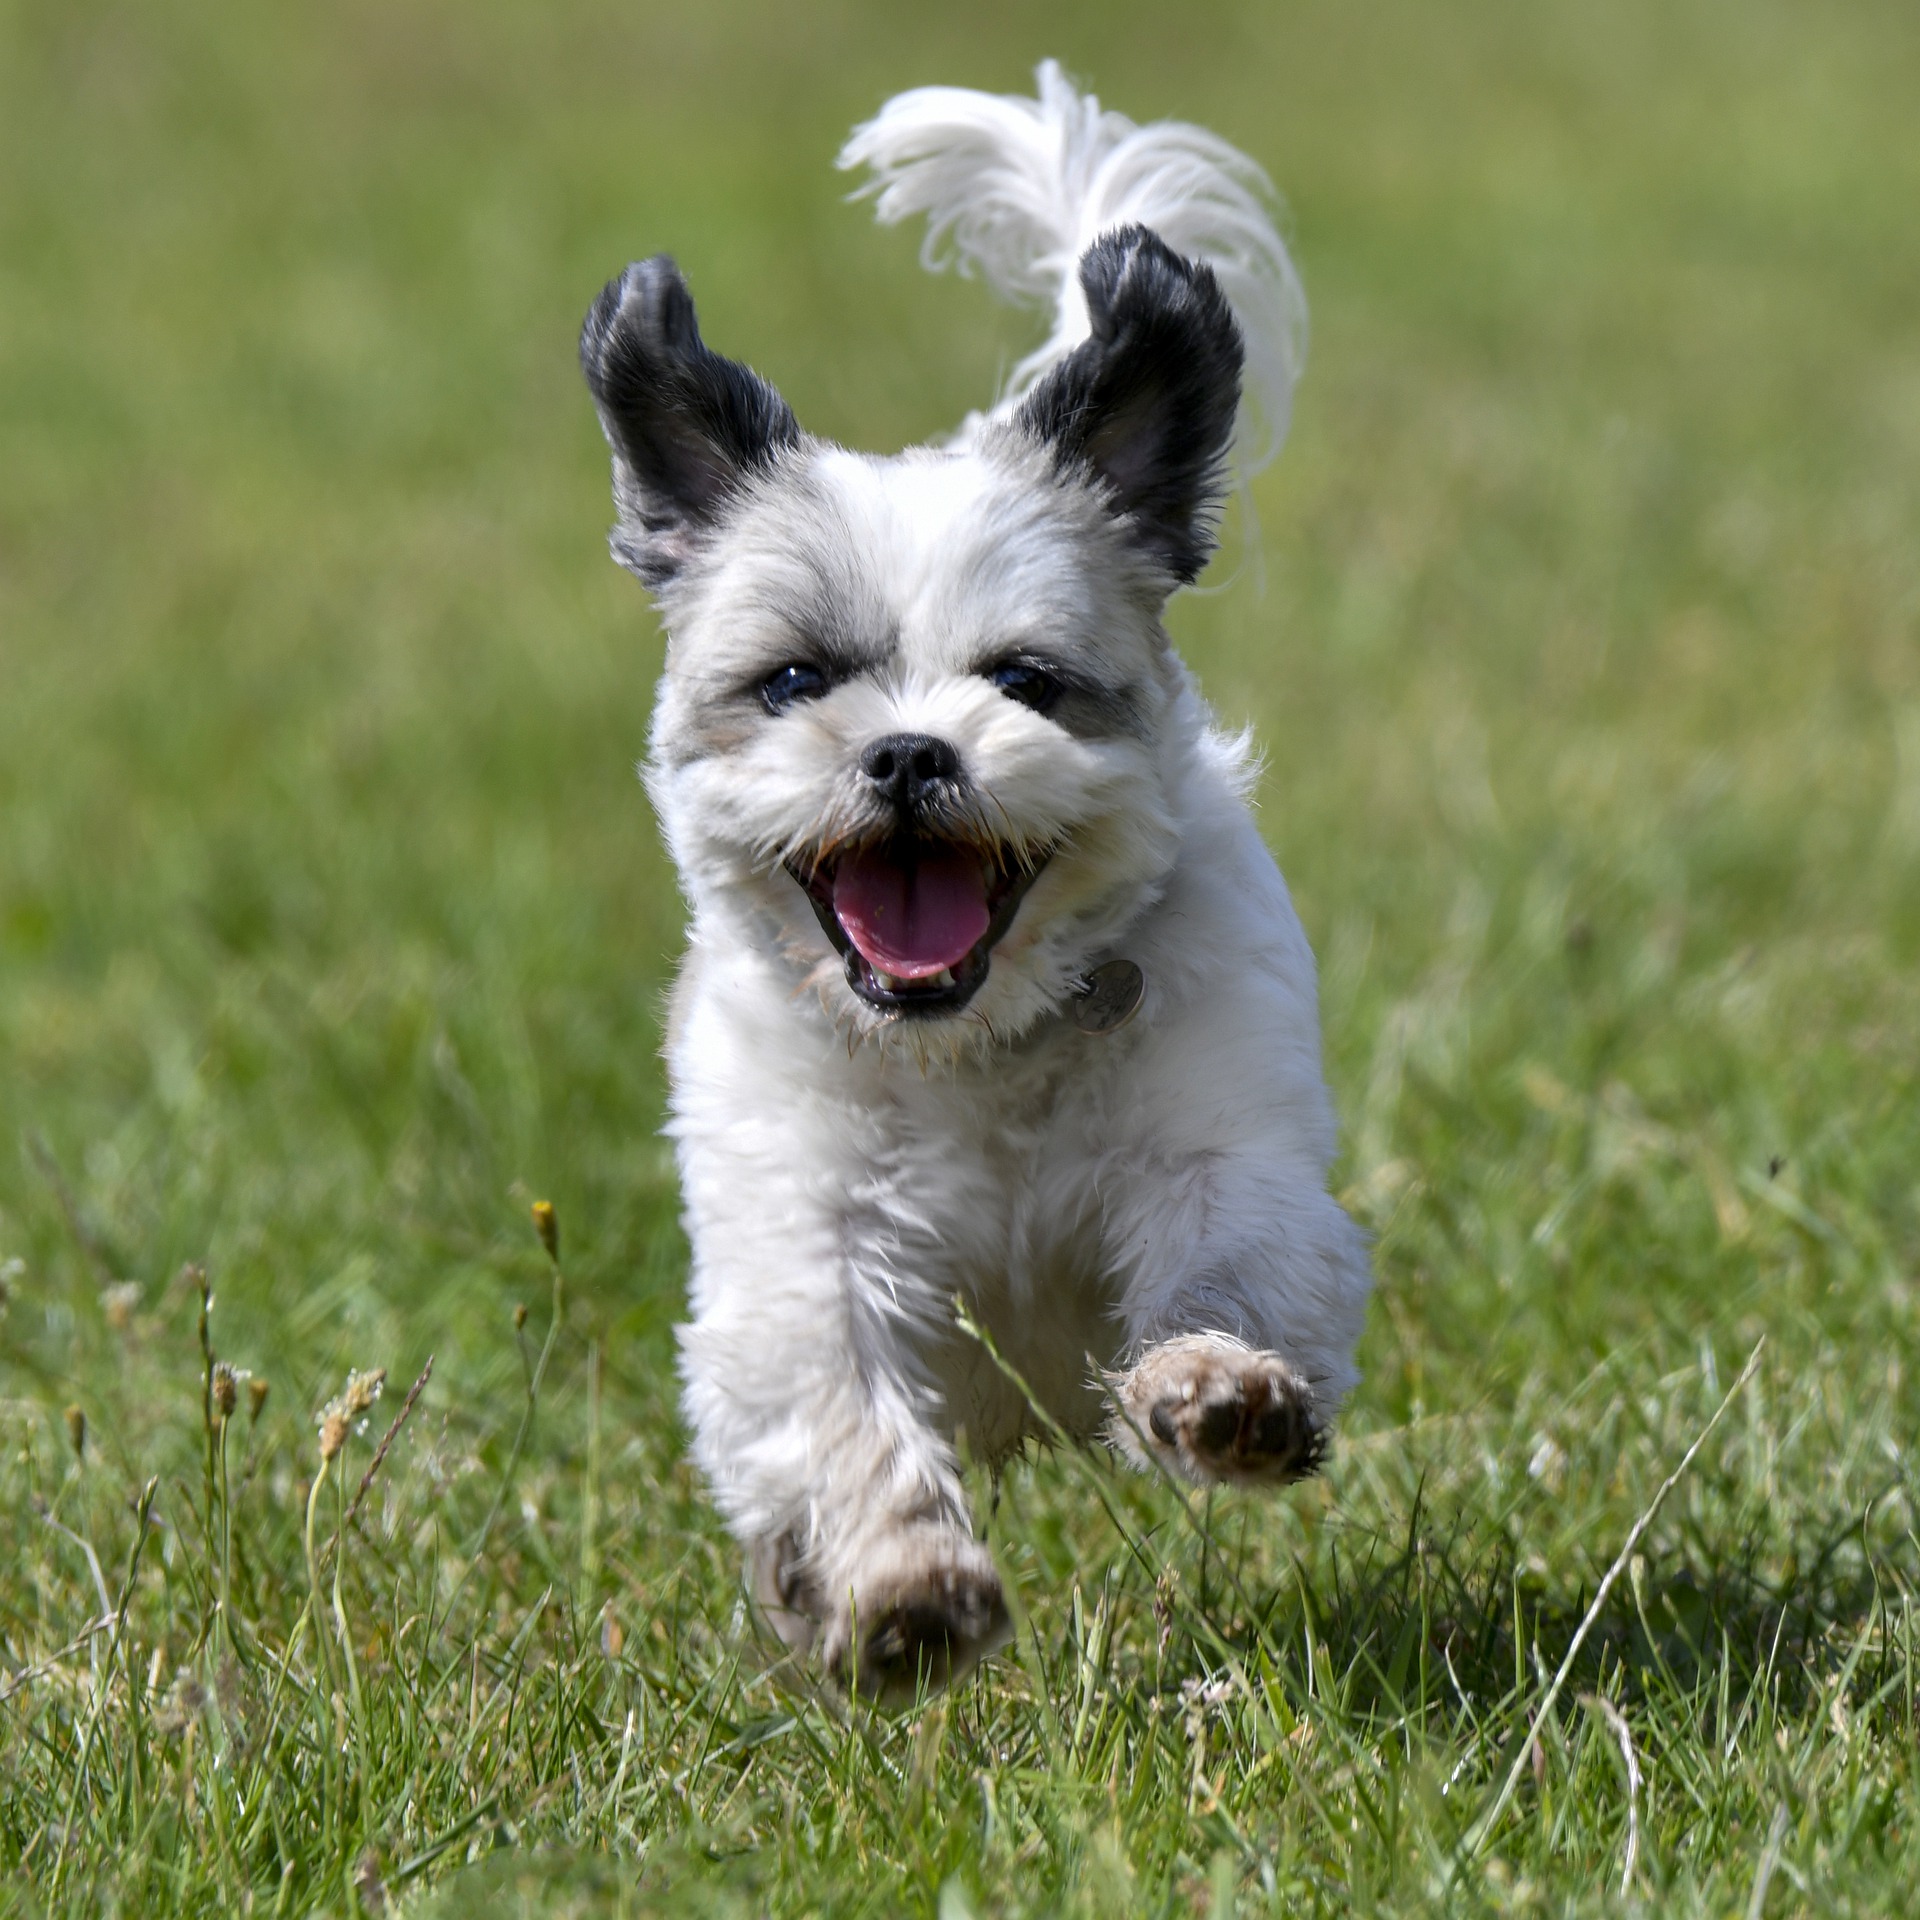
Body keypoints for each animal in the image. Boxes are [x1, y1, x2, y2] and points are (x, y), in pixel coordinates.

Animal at [576, 63, 1374, 1697]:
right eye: (796, 681)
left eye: (1026, 681)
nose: (908, 750)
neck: (978, 1042)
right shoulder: (797, 1236)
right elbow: (835, 1403)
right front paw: (901, 1591)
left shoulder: (1225, 1155)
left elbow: (1233, 1266)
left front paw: (1221, 1392)